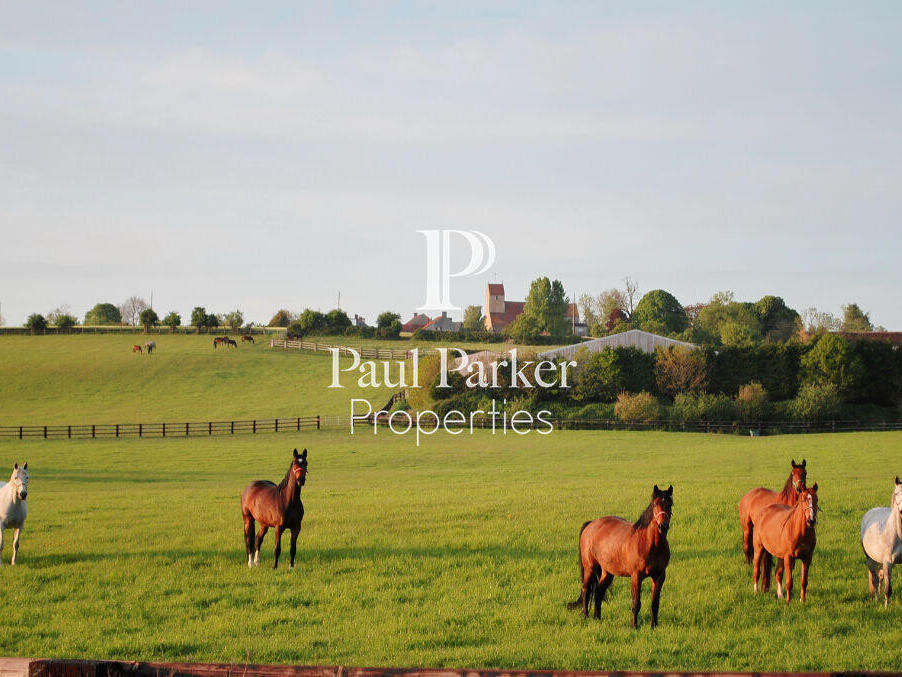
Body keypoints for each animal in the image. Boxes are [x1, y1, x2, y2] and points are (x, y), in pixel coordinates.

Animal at [568, 484, 676, 624]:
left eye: (670, 504)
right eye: (655, 504)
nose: (663, 526)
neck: (649, 544)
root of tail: (590, 524)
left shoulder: (659, 576)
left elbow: (655, 604)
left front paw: (654, 626)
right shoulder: (636, 576)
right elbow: (636, 603)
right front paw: (634, 626)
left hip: (607, 572)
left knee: (598, 592)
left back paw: (597, 618)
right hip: (589, 568)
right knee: (587, 590)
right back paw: (586, 616)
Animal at [860, 472, 902, 604]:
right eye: (897, 493)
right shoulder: (888, 562)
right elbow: (888, 589)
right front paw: (886, 606)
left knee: (880, 576)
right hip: (870, 559)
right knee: (875, 578)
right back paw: (877, 599)